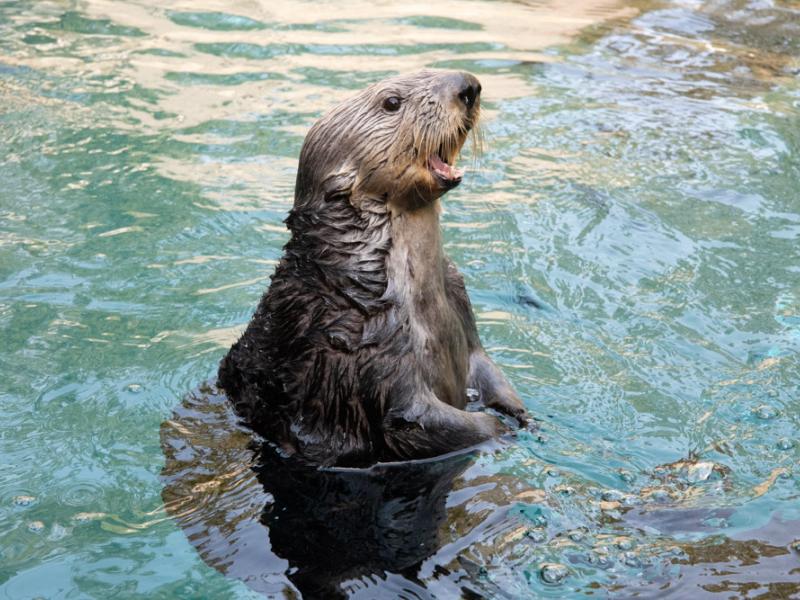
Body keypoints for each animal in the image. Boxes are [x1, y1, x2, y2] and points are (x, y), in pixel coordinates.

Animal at [218, 70, 528, 467]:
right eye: (392, 102)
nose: (468, 86)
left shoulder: (459, 298)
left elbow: (483, 363)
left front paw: (520, 412)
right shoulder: (373, 351)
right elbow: (417, 423)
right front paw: (500, 430)